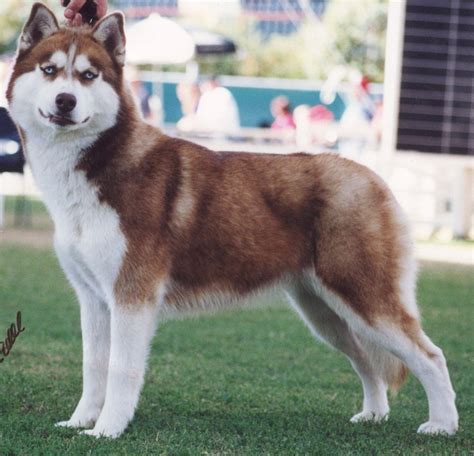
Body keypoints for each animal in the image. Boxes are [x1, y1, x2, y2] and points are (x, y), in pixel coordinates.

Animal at [6, 3, 460, 438]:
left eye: (88, 75)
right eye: (49, 70)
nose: (66, 100)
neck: (96, 164)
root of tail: (372, 176)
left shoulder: (132, 296)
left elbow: (121, 369)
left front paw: (107, 430)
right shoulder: (95, 299)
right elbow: (93, 366)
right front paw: (80, 421)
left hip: (365, 300)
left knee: (431, 356)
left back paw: (442, 425)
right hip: (327, 313)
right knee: (367, 360)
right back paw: (373, 415)